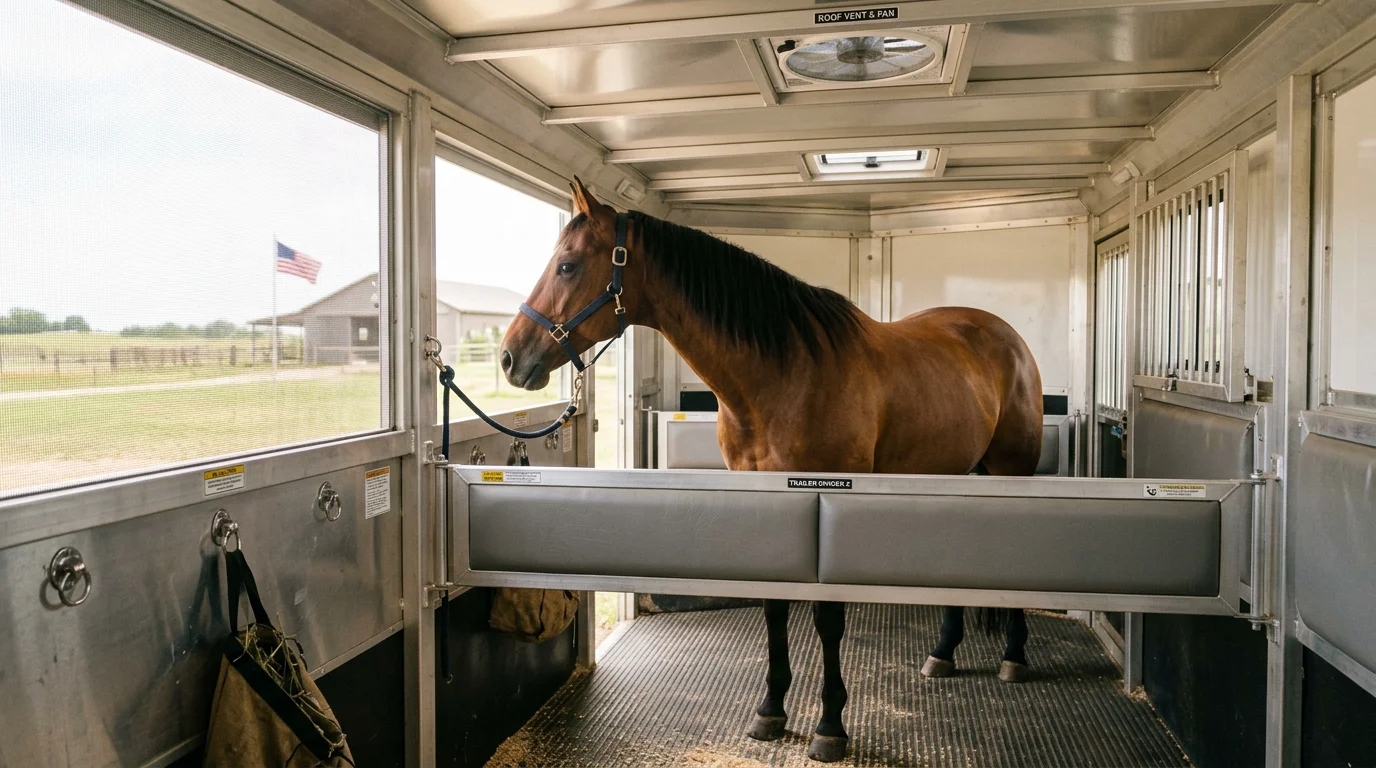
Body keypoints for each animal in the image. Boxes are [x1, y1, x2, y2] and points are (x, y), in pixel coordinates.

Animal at [500, 178, 1044, 763]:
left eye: (567, 266)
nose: (509, 357)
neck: (785, 375)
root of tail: (1003, 335)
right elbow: (774, 606)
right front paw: (771, 710)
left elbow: (827, 620)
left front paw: (830, 725)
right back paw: (943, 653)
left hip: (1013, 471)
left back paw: (1014, 658)